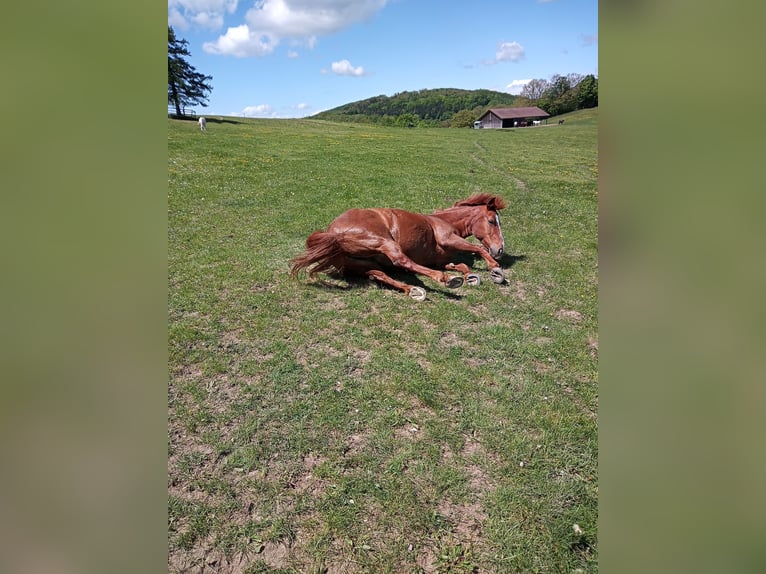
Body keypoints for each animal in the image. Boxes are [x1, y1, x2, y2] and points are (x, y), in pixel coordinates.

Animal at [290, 193, 507, 300]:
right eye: (491, 221)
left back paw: (413, 290)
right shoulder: (448, 239)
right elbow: (476, 248)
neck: (443, 221)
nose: (500, 250)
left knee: (379, 274)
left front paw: (471, 276)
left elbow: (461, 265)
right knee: (401, 261)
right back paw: (445, 280)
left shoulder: (439, 260)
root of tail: (332, 232)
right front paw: (495, 270)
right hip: (385, 242)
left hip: (361, 263)